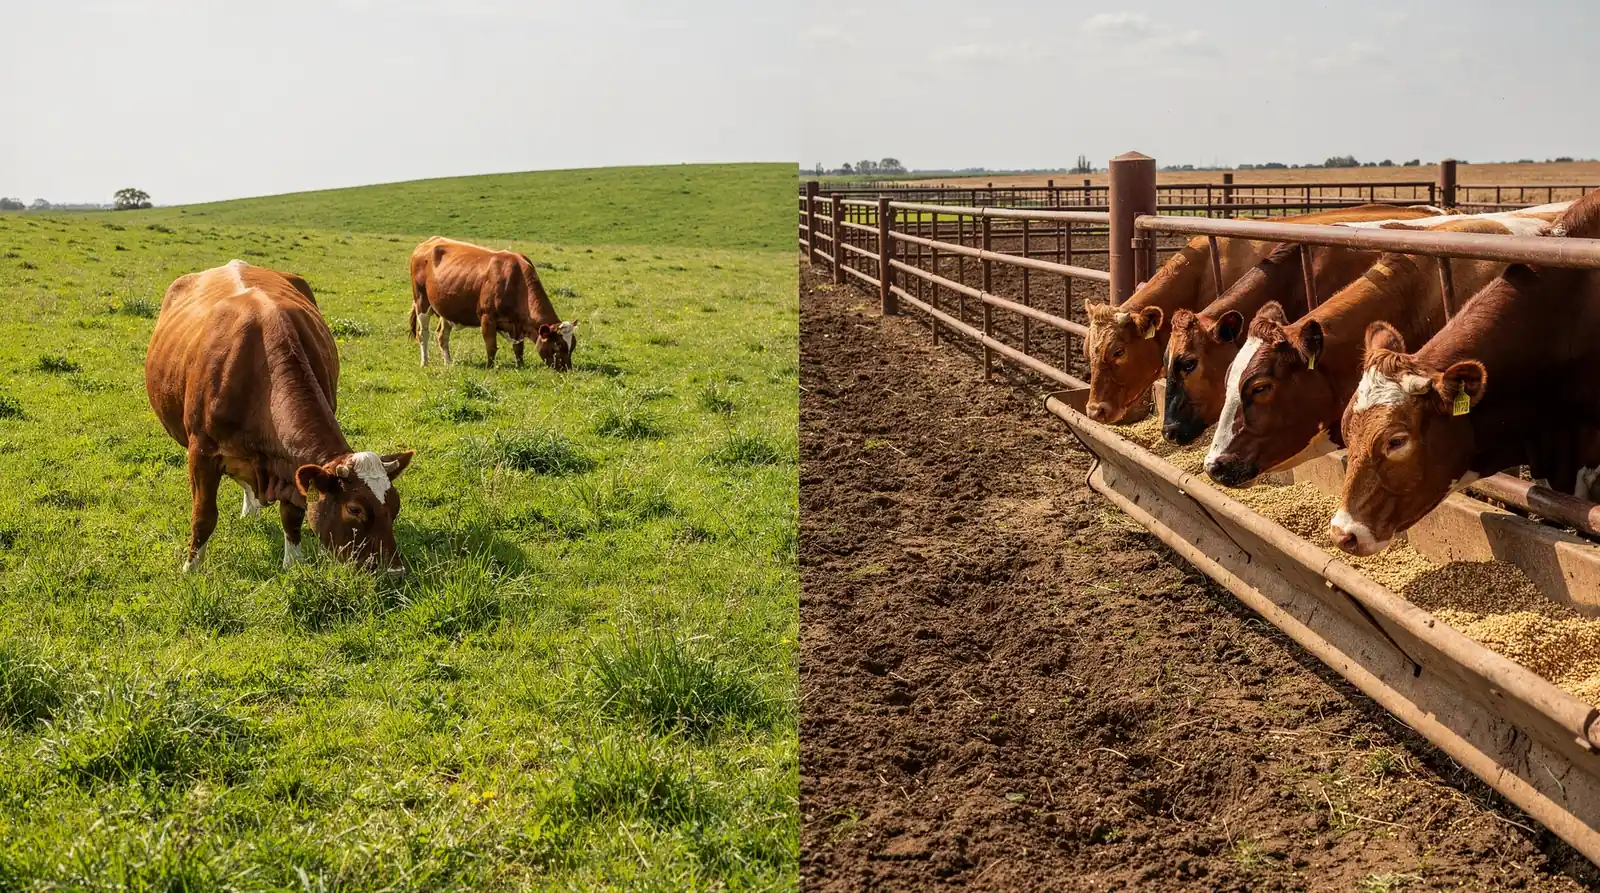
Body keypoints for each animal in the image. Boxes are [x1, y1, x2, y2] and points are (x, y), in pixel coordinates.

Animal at [146, 259, 415, 575]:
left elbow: (292, 515)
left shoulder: (293, 467)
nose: (394, 572)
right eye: (354, 509)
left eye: (395, 506)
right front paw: (192, 568)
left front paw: (294, 564)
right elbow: (204, 515)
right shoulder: (201, 452)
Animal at [410, 236, 578, 370]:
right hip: (421, 301)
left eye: (573, 347)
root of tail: (428, 242)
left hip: (446, 308)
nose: (567, 370)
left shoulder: (517, 325)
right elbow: (491, 346)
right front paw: (489, 367)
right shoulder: (487, 317)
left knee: (442, 335)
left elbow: (518, 348)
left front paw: (520, 365)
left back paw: (448, 362)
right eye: (557, 346)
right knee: (423, 333)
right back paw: (425, 362)